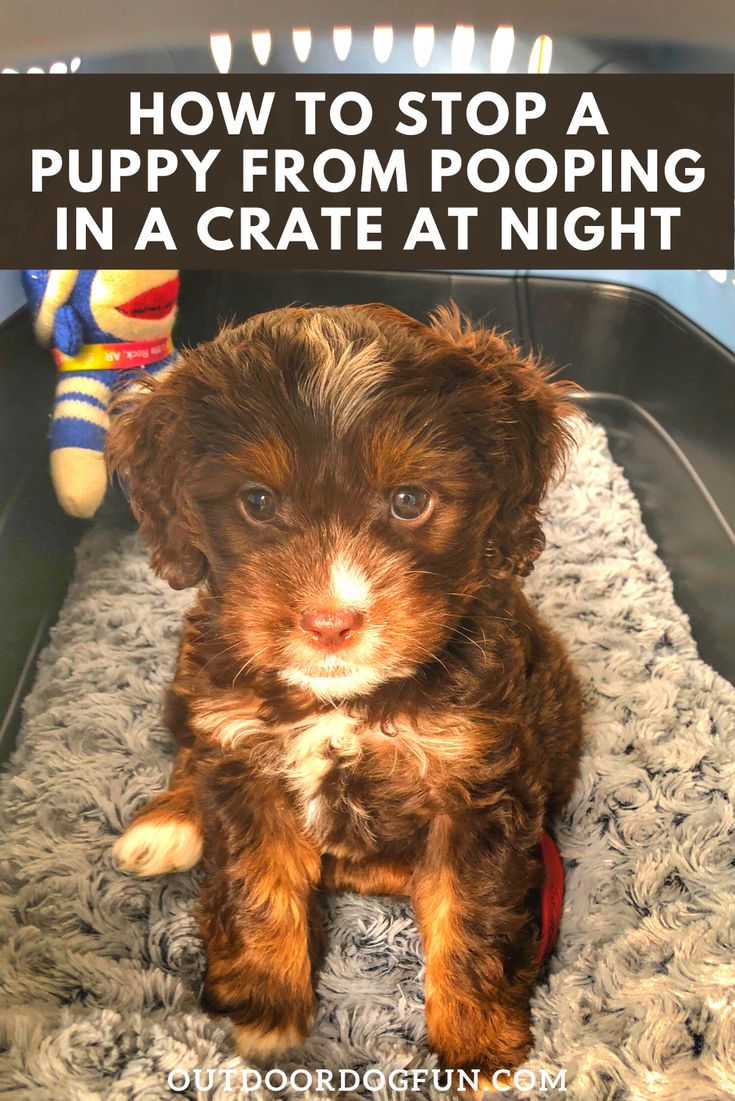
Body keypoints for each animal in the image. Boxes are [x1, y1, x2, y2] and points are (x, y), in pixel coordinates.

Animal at [106, 306, 580, 1087]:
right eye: (257, 502)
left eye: (409, 500)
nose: (330, 621)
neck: (345, 705)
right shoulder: (247, 764)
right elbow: (255, 887)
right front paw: (264, 1015)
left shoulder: (478, 788)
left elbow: (472, 917)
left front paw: (478, 1051)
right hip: (198, 671)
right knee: (190, 747)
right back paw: (168, 820)